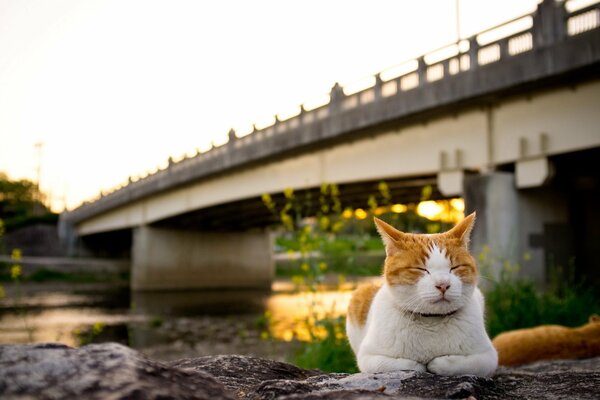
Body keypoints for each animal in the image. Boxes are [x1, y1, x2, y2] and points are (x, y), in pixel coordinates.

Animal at [346, 214, 496, 376]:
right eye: (420, 269)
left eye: (455, 267)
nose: (443, 284)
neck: (431, 321)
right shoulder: (369, 357)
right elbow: (408, 364)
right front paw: (421, 364)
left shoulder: (488, 357)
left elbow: (457, 364)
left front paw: (437, 363)